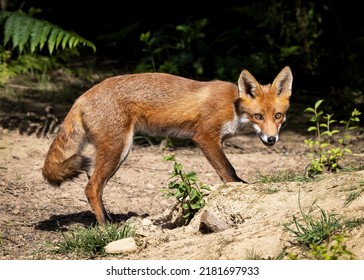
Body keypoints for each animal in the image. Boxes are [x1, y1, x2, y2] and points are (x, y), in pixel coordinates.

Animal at [42, 66, 292, 225]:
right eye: (258, 116)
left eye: (278, 116)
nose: (271, 140)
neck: (233, 106)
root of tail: (82, 96)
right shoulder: (205, 137)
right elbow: (229, 172)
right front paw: (237, 191)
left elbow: (226, 174)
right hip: (117, 149)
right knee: (91, 187)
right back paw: (105, 227)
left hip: (118, 153)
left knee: (94, 184)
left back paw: (108, 219)